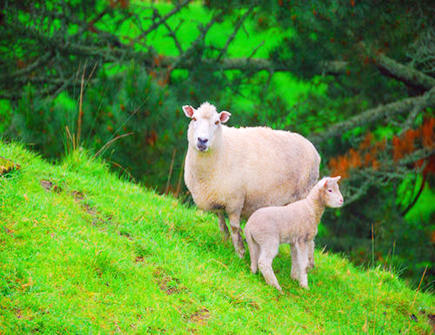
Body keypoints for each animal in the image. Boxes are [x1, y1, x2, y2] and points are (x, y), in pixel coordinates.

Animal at [182, 102, 322, 260]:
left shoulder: (235, 201)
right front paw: (224, 241)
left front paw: (240, 253)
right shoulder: (216, 197)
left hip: (305, 194)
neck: (221, 149)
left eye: (217, 122)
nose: (202, 140)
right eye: (194, 118)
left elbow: (235, 228)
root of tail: (314, 150)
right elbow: (221, 222)